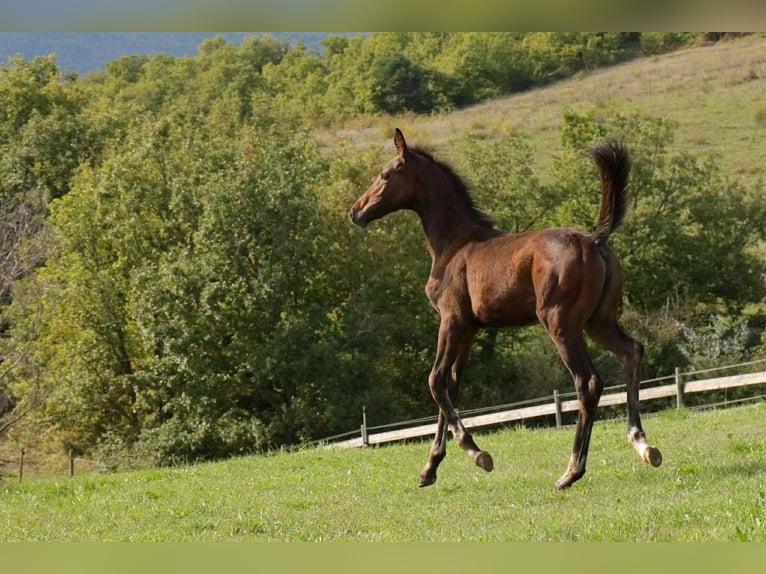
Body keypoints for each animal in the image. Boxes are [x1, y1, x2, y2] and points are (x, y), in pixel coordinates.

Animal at [349, 128, 662, 490]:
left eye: (385, 174)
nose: (355, 212)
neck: (454, 244)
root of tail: (595, 241)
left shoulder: (451, 320)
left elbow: (435, 380)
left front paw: (477, 453)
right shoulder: (469, 327)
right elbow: (451, 384)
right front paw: (430, 468)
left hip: (560, 323)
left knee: (588, 382)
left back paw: (570, 471)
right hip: (599, 322)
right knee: (632, 351)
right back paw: (643, 445)